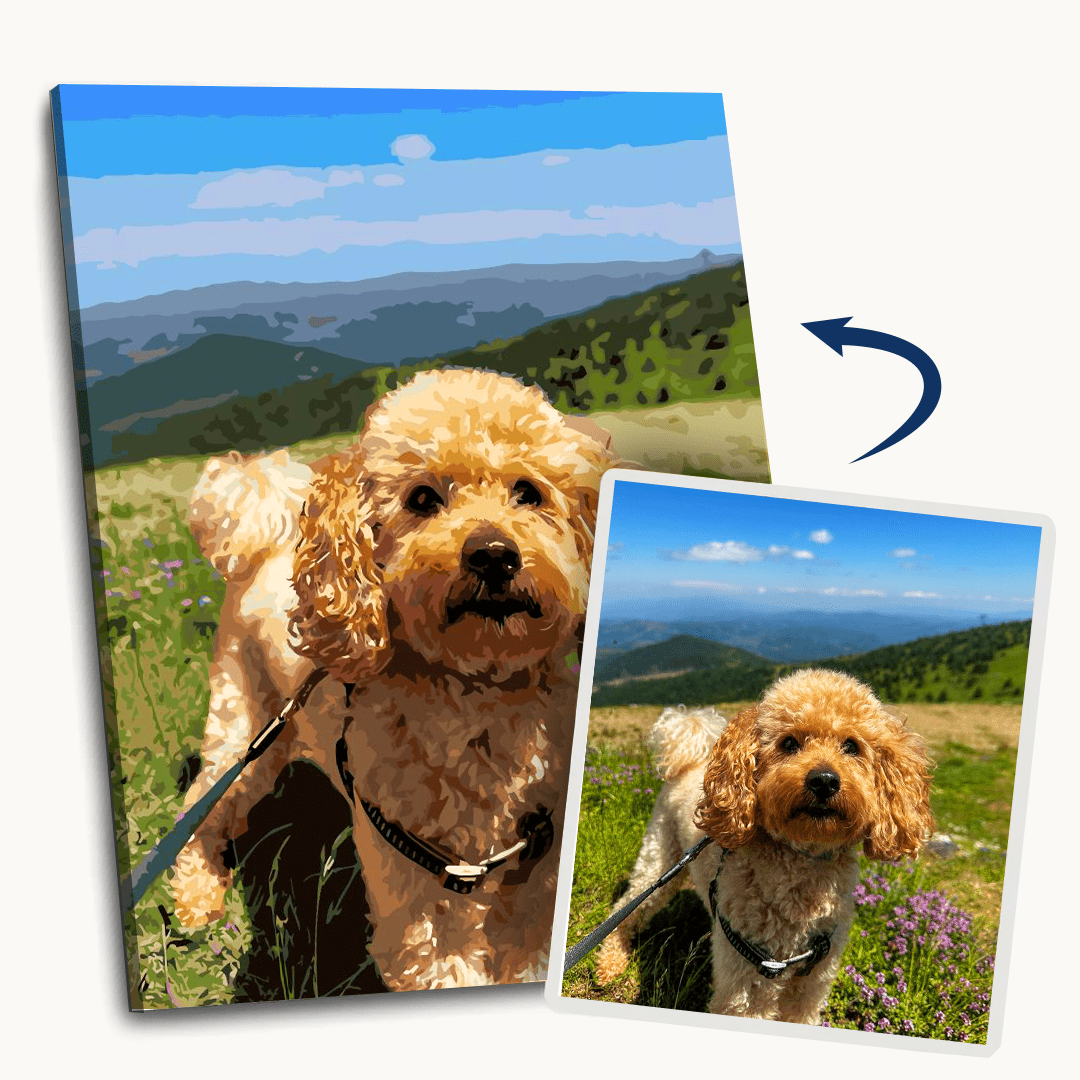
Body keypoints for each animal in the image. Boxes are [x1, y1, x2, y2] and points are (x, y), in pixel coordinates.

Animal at [173, 369, 622, 989]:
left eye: (528, 492)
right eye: (423, 499)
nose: (493, 554)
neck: (479, 700)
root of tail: (257, 550)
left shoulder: (536, 886)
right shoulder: (418, 901)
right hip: (244, 729)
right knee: (202, 808)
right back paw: (196, 899)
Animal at [596, 669, 933, 1023]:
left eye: (851, 746)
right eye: (789, 743)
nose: (824, 780)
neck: (802, 858)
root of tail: (688, 763)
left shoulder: (813, 982)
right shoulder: (747, 980)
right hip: (659, 858)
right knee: (628, 907)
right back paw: (611, 962)